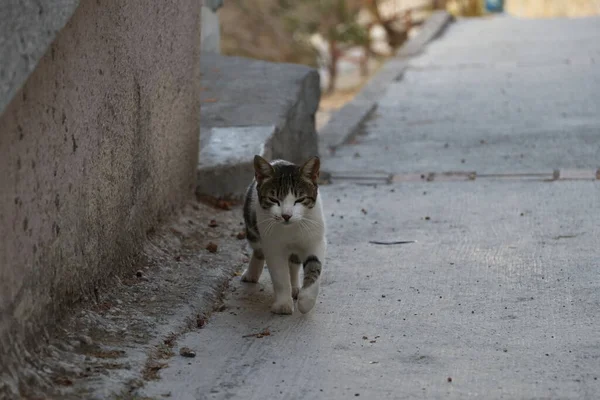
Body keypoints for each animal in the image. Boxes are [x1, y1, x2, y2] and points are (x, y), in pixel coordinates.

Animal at [243, 155, 328, 314]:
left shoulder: (316, 241)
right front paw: (283, 304)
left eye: (300, 199)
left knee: (293, 263)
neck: (291, 229)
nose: (286, 215)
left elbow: (314, 267)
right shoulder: (272, 247)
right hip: (253, 228)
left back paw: (295, 287)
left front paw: (306, 301)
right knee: (258, 251)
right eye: (273, 199)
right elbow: (280, 275)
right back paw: (252, 273)